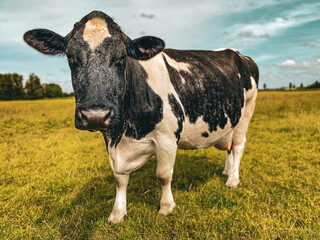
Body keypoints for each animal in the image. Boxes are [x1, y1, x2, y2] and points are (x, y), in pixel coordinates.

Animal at [25, 10, 260, 225]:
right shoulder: (111, 139)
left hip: (247, 110)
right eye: (70, 57)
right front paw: (117, 213)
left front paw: (166, 207)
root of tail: (237, 53)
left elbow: (163, 175)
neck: (124, 134)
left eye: (122, 57)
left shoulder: (167, 137)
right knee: (229, 147)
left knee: (238, 145)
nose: (95, 116)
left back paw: (233, 180)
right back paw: (226, 172)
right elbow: (119, 179)